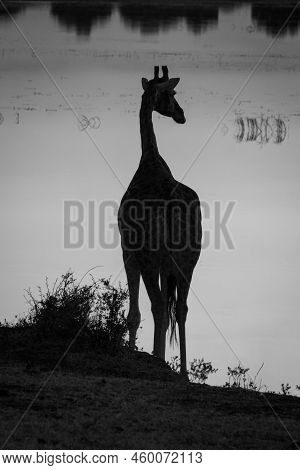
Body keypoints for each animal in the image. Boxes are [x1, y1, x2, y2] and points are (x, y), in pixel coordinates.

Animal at [117, 66, 202, 376]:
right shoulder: (167, 263)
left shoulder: (127, 249)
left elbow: (136, 313)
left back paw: (161, 363)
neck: (149, 160)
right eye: (172, 93)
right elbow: (167, 310)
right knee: (180, 309)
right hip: (189, 259)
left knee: (157, 307)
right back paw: (184, 371)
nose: (181, 114)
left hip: (150, 256)